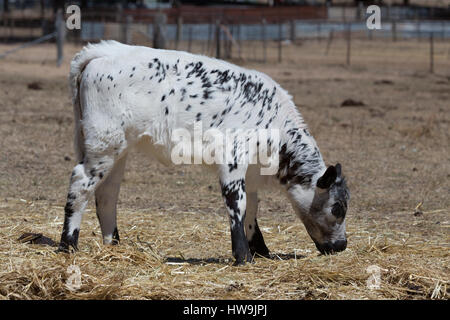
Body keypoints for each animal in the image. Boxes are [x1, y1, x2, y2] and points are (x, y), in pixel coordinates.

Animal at [58, 40, 350, 264]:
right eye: (337, 208)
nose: (342, 245)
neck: (274, 123)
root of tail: (106, 52)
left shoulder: (250, 173)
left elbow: (252, 210)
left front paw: (261, 251)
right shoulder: (232, 162)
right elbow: (237, 206)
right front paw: (243, 256)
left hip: (118, 150)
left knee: (107, 194)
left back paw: (114, 246)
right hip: (103, 144)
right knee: (81, 184)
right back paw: (68, 245)